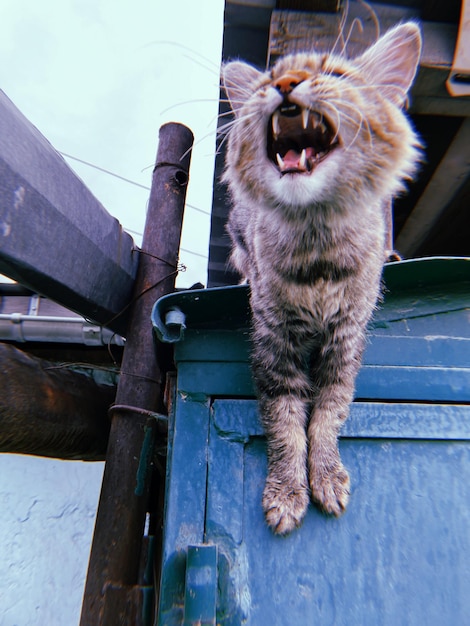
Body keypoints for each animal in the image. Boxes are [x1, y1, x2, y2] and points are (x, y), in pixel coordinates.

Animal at [220, 23, 422, 532]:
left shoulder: (345, 344)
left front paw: (326, 475)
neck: (318, 255)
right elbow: (287, 424)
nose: (285, 82)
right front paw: (288, 489)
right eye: (267, 78)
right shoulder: (274, 346)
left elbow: (328, 417)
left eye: (336, 74)